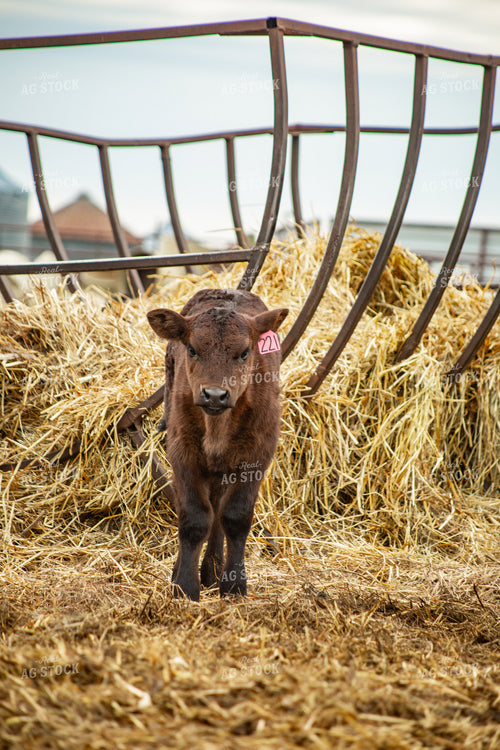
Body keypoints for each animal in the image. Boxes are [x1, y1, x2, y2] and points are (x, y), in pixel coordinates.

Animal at [147, 288, 288, 601]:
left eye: (244, 352)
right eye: (192, 349)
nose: (214, 395)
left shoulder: (257, 455)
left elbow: (235, 517)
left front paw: (234, 584)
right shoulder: (182, 451)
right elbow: (194, 517)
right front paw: (184, 586)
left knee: (219, 510)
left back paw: (212, 571)